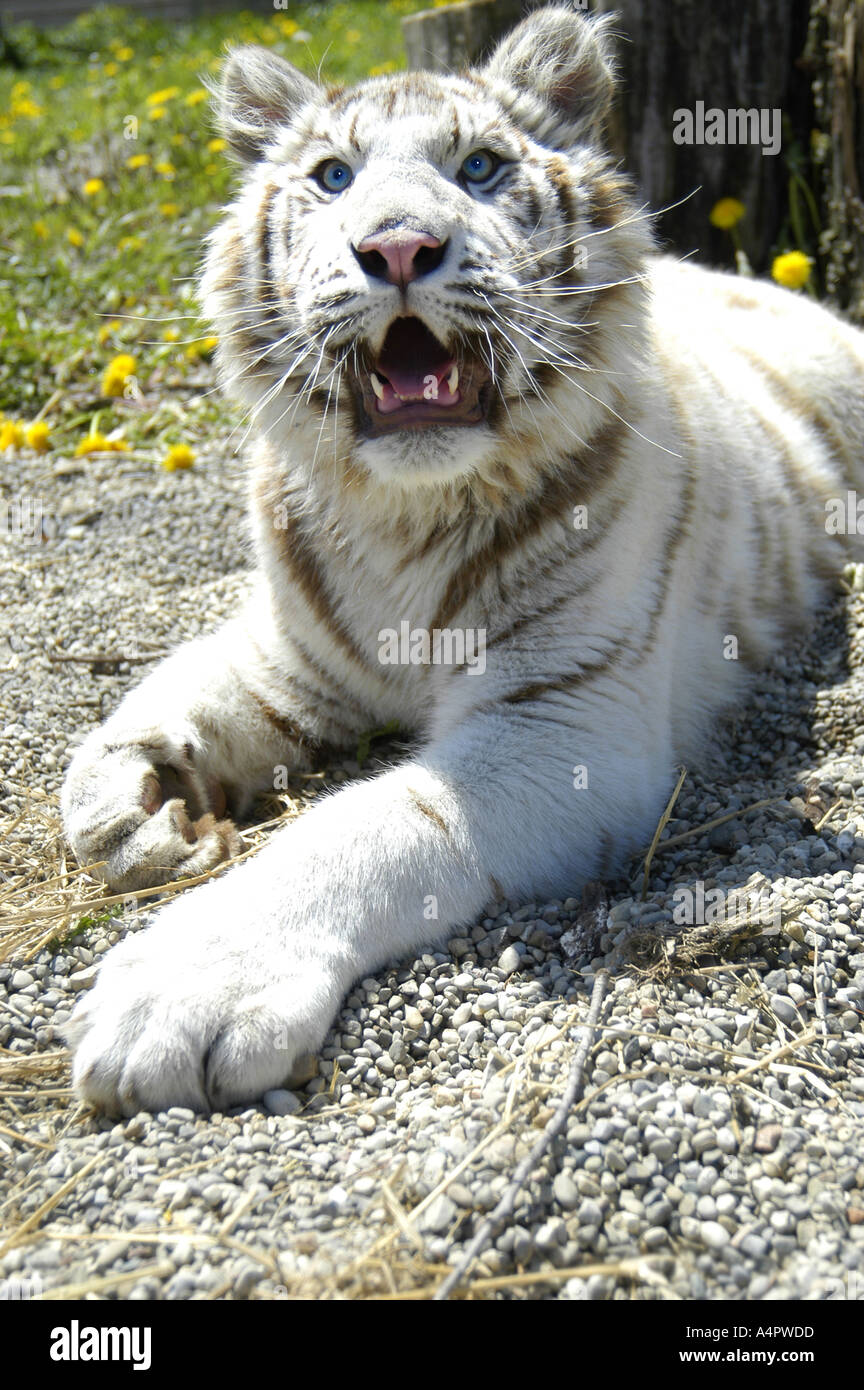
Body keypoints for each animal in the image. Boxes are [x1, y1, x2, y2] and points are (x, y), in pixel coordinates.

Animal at [61, 0, 864, 1106]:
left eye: (479, 168)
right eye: (334, 177)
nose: (400, 247)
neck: (404, 513)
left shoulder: (561, 722)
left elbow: (366, 826)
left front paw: (175, 992)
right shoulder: (292, 658)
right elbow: (161, 699)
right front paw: (123, 805)